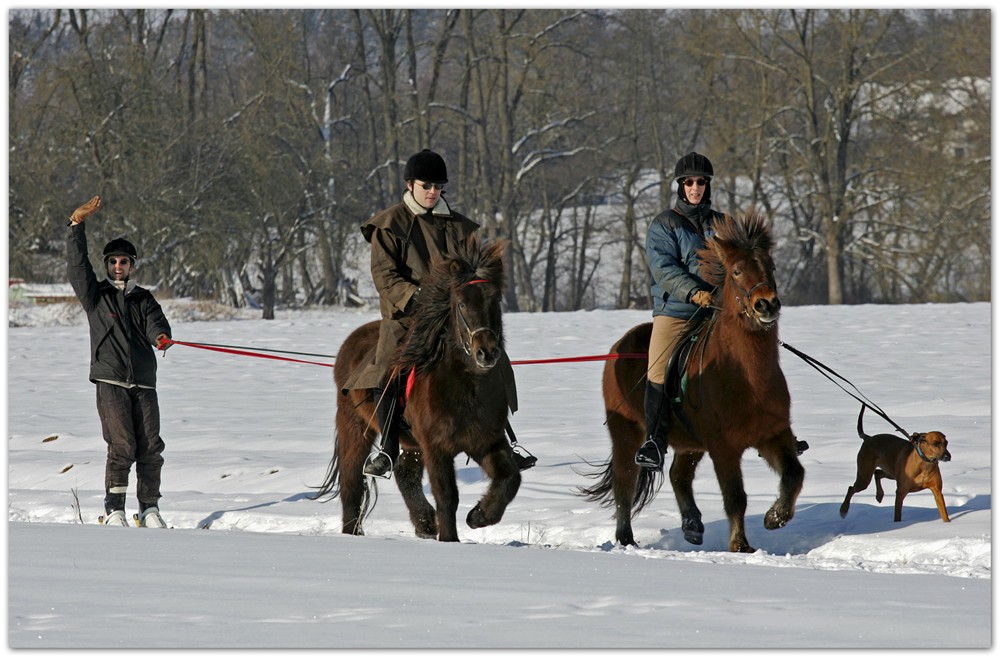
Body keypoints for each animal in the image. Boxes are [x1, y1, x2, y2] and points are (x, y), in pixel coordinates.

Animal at [314, 236, 520, 540]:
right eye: (461, 304)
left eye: (495, 301)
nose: (486, 352)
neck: (465, 387)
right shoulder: (437, 447)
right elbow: (447, 496)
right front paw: (451, 539)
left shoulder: (486, 441)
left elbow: (510, 479)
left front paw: (479, 516)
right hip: (355, 428)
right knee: (352, 483)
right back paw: (353, 532)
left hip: (411, 442)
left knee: (404, 473)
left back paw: (425, 523)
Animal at [580, 213, 804, 552]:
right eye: (736, 271)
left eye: (771, 266)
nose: (766, 305)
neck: (747, 378)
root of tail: (620, 344)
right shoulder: (724, 447)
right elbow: (735, 497)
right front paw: (740, 545)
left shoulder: (774, 434)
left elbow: (794, 474)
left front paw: (775, 517)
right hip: (627, 434)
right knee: (625, 483)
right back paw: (626, 539)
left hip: (689, 441)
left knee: (678, 476)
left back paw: (692, 525)